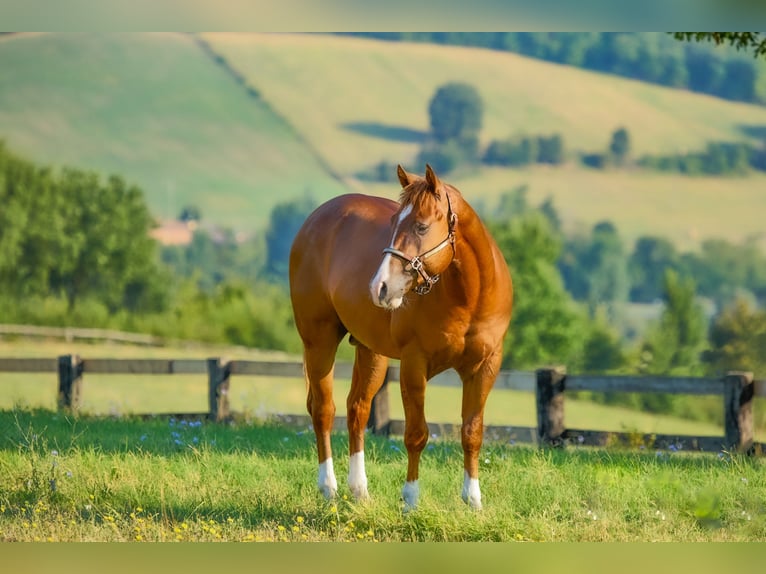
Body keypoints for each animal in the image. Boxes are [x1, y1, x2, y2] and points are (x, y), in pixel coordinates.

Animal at [288, 164, 513, 510]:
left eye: (421, 227)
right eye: (393, 223)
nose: (379, 287)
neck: (468, 298)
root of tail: (314, 220)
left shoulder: (485, 366)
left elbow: (472, 432)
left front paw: (473, 501)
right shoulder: (413, 364)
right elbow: (416, 434)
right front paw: (410, 500)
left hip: (371, 351)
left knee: (357, 409)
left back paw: (359, 490)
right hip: (319, 340)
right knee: (324, 410)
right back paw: (328, 487)